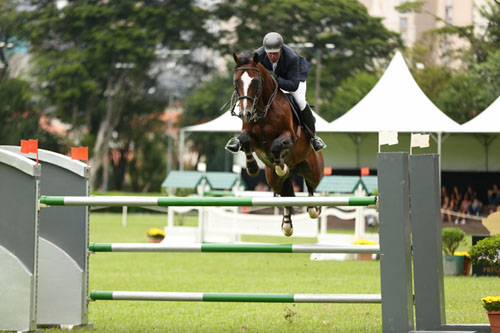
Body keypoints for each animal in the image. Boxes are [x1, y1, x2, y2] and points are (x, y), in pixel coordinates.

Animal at [229, 50, 324, 236]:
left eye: (255, 81)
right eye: (236, 81)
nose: (245, 113)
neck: (263, 111)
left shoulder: (290, 138)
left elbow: (275, 146)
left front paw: (280, 165)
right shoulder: (251, 138)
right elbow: (244, 141)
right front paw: (252, 167)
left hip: (313, 170)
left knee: (311, 187)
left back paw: (312, 207)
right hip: (273, 180)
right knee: (286, 195)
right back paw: (287, 224)